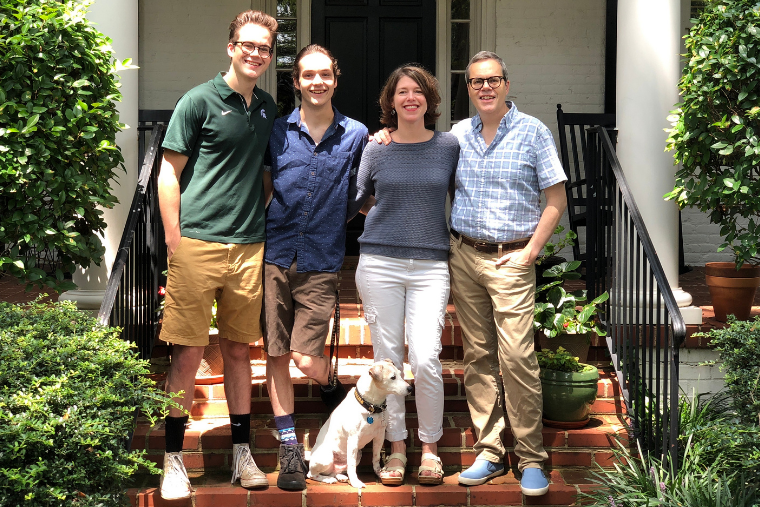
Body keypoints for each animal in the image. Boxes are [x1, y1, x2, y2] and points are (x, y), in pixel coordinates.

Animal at [308, 360, 412, 490]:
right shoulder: (353, 439)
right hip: (327, 458)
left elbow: (376, 457)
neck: (371, 406)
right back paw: (328, 479)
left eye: (399, 373)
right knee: (312, 475)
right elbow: (352, 466)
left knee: (335, 471)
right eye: (393, 377)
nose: (410, 388)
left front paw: (379, 472)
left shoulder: (380, 435)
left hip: (358, 453)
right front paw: (355, 482)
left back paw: (340, 477)